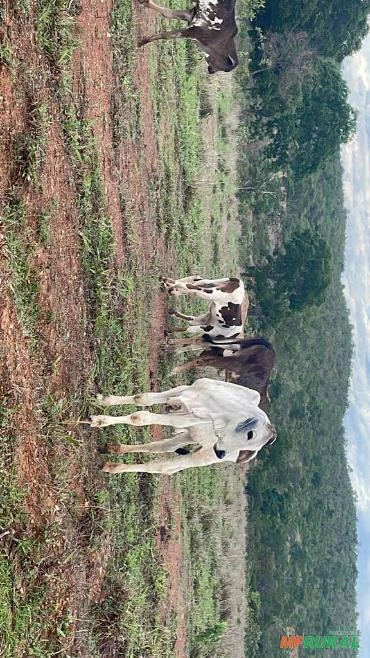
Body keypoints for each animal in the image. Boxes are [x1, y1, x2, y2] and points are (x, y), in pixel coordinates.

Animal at [86, 376, 278, 474]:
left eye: (249, 444)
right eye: (250, 435)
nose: (221, 454)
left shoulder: (187, 418)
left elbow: (140, 417)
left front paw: (100, 420)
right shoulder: (183, 390)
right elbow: (142, 398)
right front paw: (105, 401)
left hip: (201, 456)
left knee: (162, 467)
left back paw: (115, 467)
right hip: (190, 435)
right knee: (161, 447)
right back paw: (115, 448)